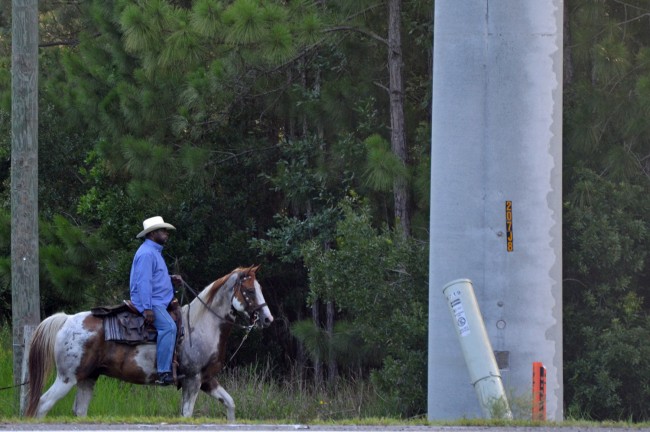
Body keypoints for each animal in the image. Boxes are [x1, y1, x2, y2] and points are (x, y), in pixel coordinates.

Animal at [24, 264, 274, 420]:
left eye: (259, 288)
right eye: (250, 290)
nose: (267, 319)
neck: (202, 324)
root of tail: (66, 319)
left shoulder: (207, 380)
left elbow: (230, 403)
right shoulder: (192, 380)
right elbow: (186, 414)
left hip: (88, 378)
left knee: (79, 412)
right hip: (67, 377)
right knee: (43, 404)